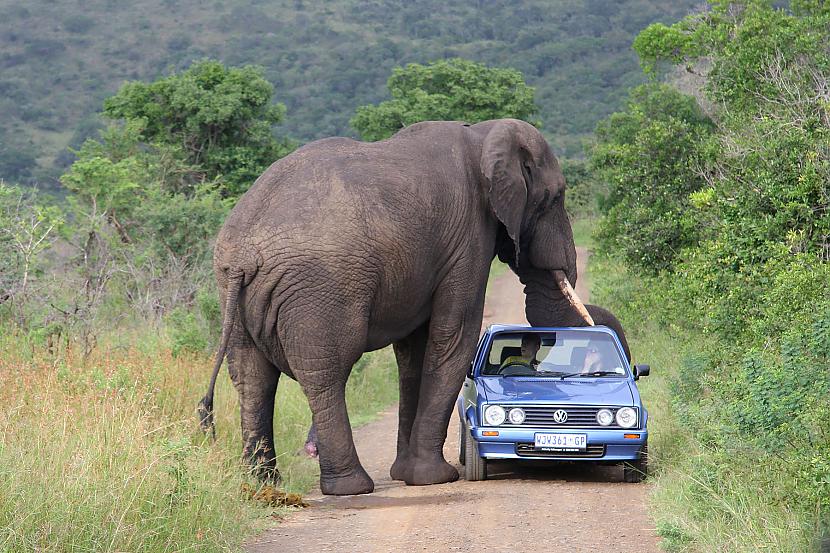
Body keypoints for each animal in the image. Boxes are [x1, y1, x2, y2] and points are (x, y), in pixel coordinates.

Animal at [198, 117, 632, 496]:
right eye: (555, 197)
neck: (482, 135)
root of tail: (244, 253)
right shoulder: (468, 238)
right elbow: (454, 337)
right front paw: (433, 479)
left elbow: (414, 353)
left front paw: (405, 474)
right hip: (319, 290)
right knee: (326, 372)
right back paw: (351, 488)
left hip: (233, 292)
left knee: (252, 376)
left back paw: (262, 485)